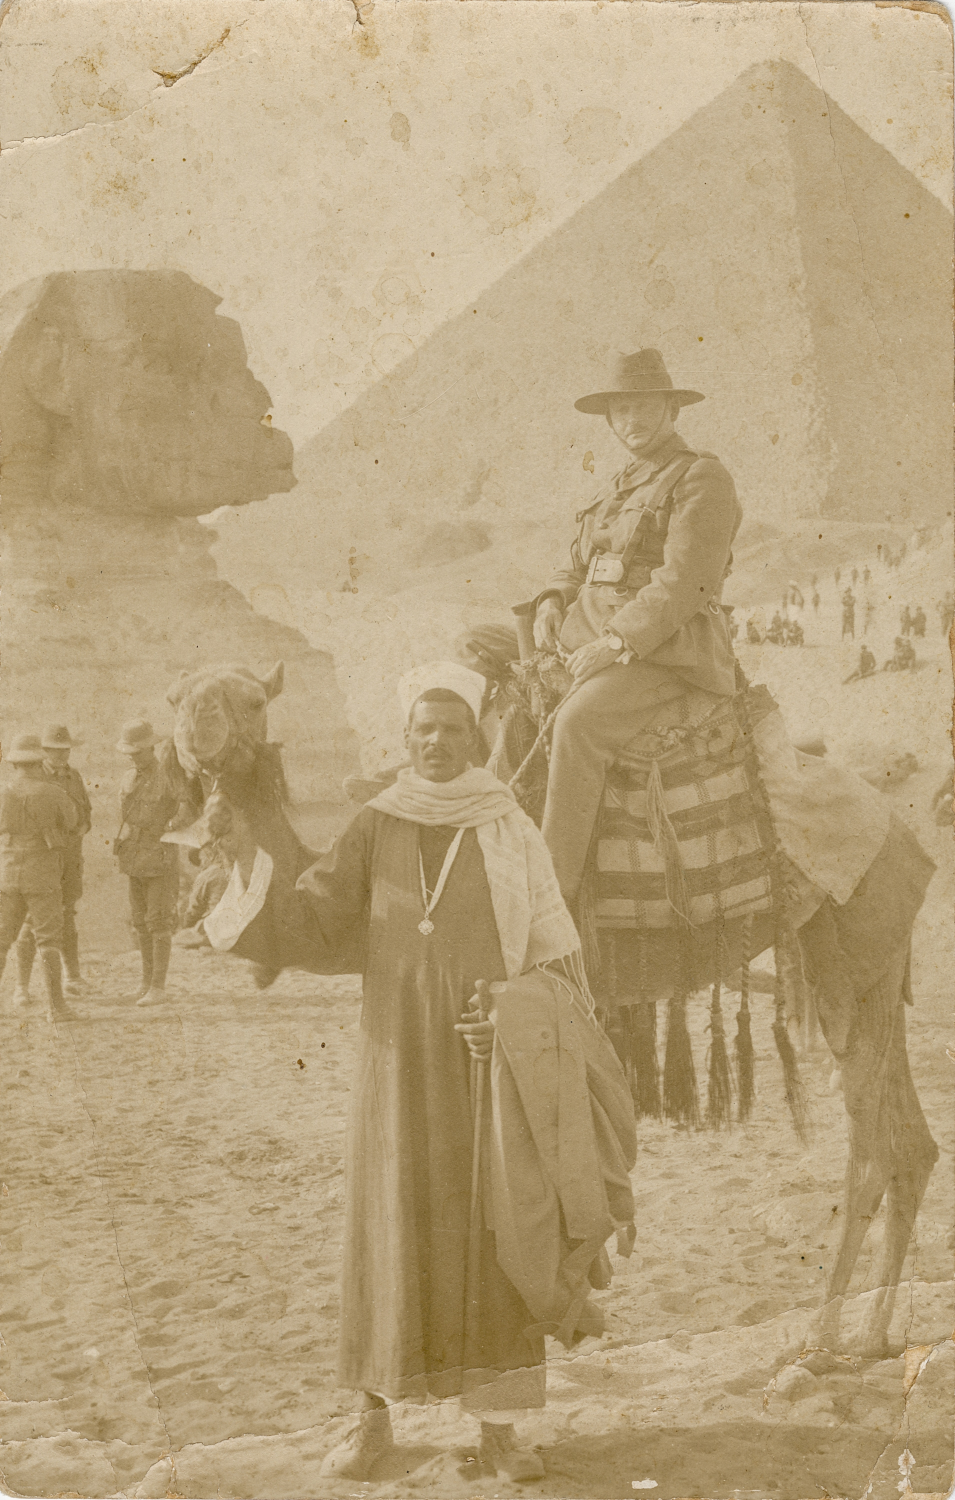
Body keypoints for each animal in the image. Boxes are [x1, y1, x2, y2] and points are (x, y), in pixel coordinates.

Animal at [167, 657, 935, 1362]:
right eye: (181, 695)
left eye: (249, 700)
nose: (195, 735)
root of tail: (900, 833)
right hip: (869, 973)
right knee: (909, 1143)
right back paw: (872, 1335)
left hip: (851, 953)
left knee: (873, 1147)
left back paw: (822, 1337)